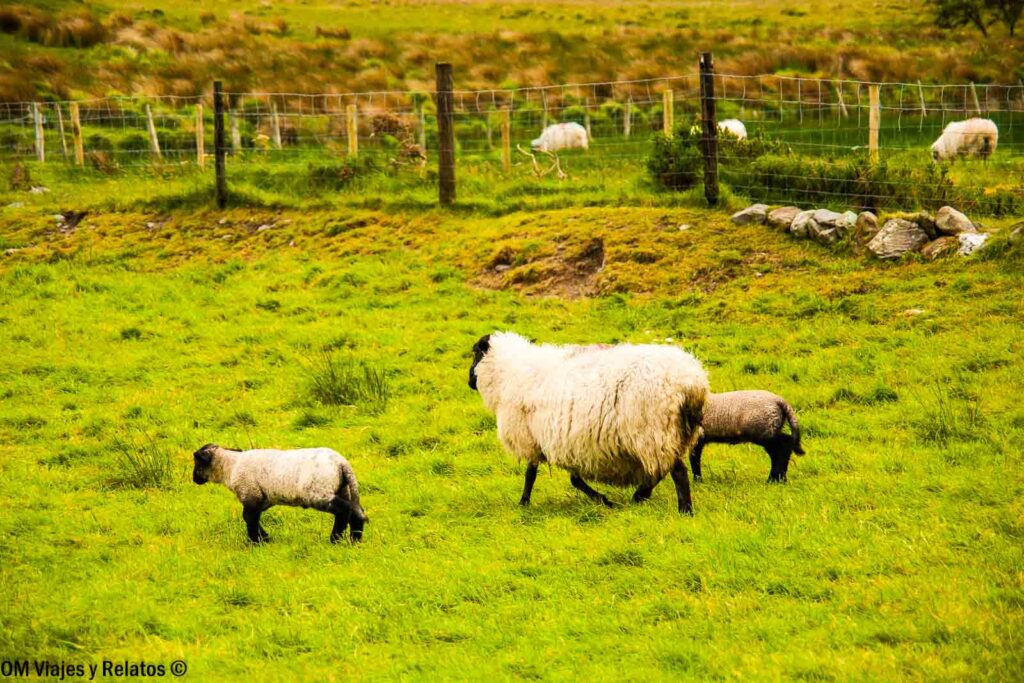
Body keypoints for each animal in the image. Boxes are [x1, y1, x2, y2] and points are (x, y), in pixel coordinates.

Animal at [192, 444, 367, 543]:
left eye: (197, 462)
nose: (194, 479)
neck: (229, 466)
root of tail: (341, 462)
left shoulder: (250, 494)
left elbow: (249, 518)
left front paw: (255, 542)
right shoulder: (261, 499)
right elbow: (253, 518)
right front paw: (264, 538)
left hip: (318, 493)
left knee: (343, 510)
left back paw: (335, 540)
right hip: (344, 489)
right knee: (356, 512)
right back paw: (355, 540)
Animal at [468, 332, 709, 513]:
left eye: (475, 353)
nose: (470, 380)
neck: (507, 374)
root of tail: (691, 382)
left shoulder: (531, 438)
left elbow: (531, 475)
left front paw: (524, 503)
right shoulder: (567, 443)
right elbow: (574, 479)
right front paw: (604, 500)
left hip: (654, 430)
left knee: (676, 471)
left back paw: (682, 509)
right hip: (671, 433)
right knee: (661, 470)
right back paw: (641, 496)